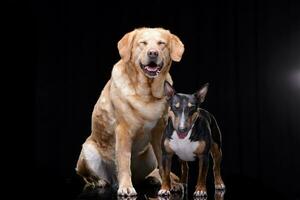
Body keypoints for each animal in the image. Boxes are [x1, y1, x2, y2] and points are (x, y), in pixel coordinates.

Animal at [75, 27, 183, 196]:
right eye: (143, 43)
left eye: (161, 43)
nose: (153, 53)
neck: (147, 93)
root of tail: (113, 180)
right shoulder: (123, 131)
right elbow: (124, 161)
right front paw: (126, 186)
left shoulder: (160, 132)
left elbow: (163, 162)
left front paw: (169, 184)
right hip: (88, 151)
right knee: (90, 177)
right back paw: (101, 181)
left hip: (150, 154)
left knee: (145, 174)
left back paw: (153, 179)